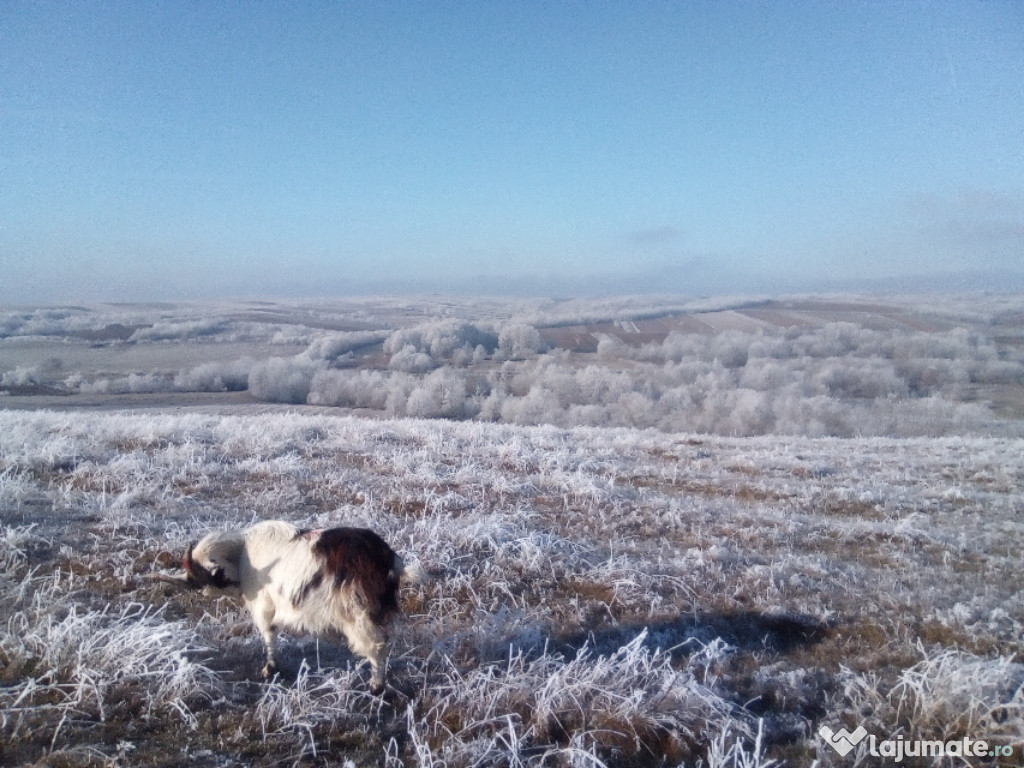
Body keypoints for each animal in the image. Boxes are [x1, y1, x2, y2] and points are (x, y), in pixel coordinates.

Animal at [147, 520, 419, 696]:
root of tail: (389, 562)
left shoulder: (264, 607)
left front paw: (269, 669)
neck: (243, 554)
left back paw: (376, 687)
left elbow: (269, 636)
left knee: (377, 647)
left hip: (360, 616)